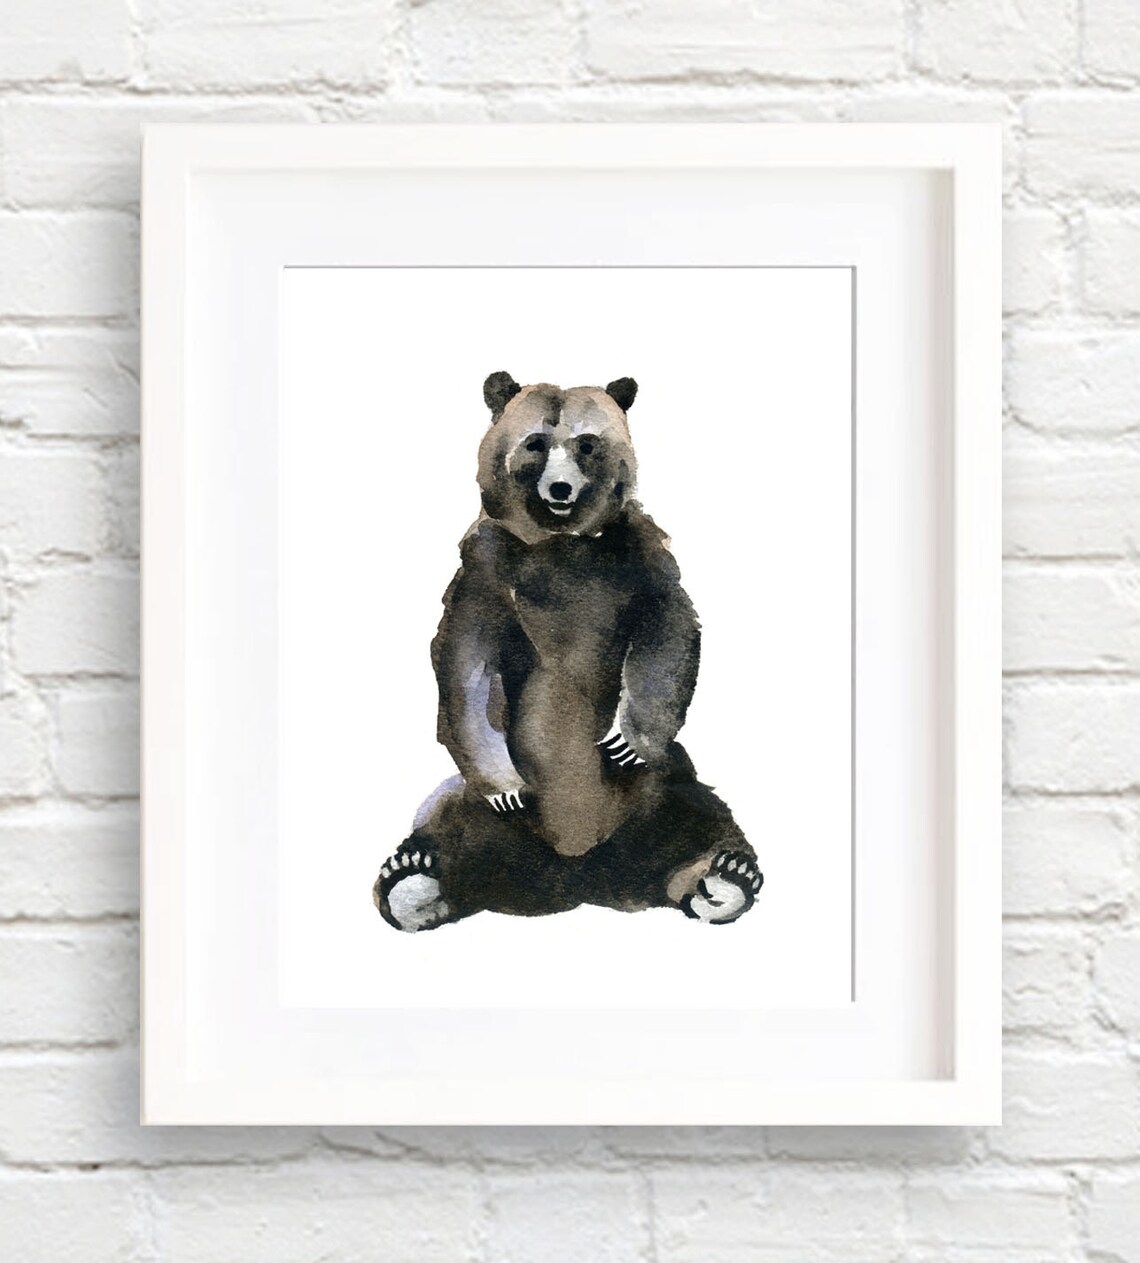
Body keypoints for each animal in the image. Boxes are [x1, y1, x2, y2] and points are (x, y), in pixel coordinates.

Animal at [373, 372, 763, 932]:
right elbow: (466, 661)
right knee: (447, 828)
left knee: (701, 816)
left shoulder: (635, 555)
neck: (560, 542)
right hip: (477, 814)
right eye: (535, 443)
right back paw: (413, 879)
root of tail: (579, 874)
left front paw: (624, 739)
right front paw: (507, 786)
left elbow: (667, 631)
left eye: (587, 444)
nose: (560, 488)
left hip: (662, 788)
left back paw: (726, 876)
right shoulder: (487, 566)